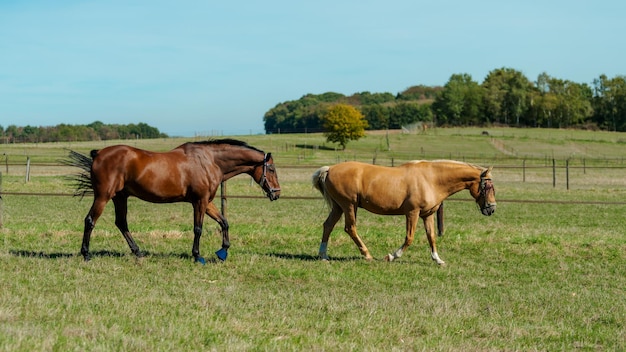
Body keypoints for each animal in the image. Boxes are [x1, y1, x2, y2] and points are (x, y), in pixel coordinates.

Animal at [64, 139, 280, 262]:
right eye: (271, 169)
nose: (276, 193)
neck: (209, 161)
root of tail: (98, 153)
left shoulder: (207, 201)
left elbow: (224, 222)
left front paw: (222, 252)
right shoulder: (199, 201)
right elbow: (198, 228)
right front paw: (197, 256)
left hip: (120, 197)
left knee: (121, 223)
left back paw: (138, 252)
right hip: (103, 196)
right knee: (90, 220)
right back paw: (86, 254)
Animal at [310, 160, 494, 264]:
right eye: (489, 186)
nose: (491, 209)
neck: (432, 179)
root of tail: (329, 169)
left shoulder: (427, 215)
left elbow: (431, 237)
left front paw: (437, 259)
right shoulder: (412, 213)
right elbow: (409, 238)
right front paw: (391, 256)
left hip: (339, 207)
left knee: (328, 226)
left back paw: (323, 255)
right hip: (349, 205)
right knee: (350, 228)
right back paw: (367, 255)